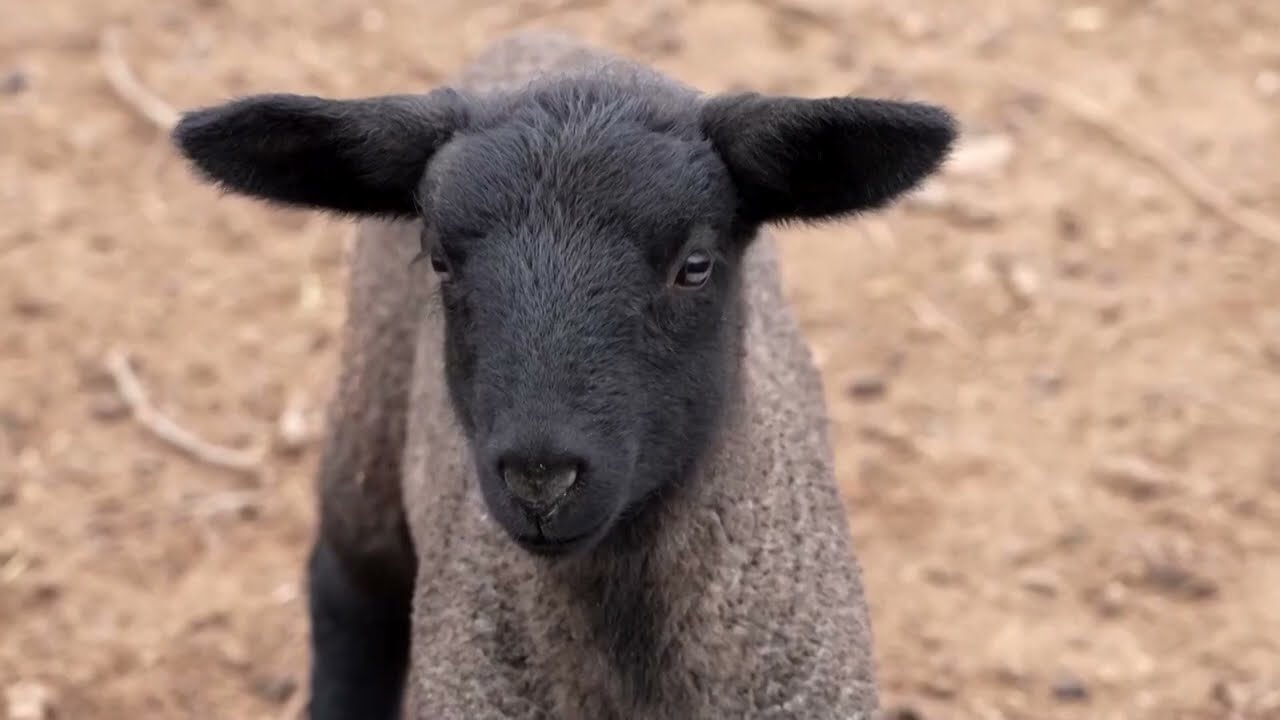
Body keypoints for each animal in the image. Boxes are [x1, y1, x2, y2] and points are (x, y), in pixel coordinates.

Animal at [171, 30, 956, 720]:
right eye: (439, 259)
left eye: (695, 265)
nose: (539, 480)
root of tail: (546, 36)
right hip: (370, 417)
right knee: (351, 588)